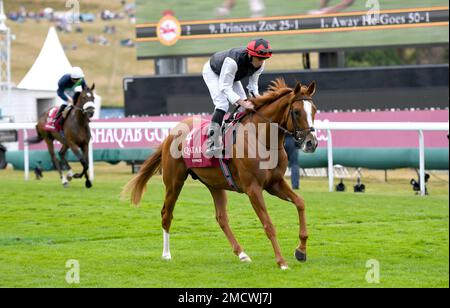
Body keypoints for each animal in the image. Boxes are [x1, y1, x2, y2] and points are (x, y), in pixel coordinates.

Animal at [121, 80, 318, 270]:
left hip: (214, 184)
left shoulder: (274, 183)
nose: (311, 143)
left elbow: (300, 203)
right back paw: (166, 254)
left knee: (221, 218)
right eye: (296, 112)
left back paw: (242, 253)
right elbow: (268, 225)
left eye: (314, 110)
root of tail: (172, 132)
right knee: (166, 213)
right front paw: (281, 262)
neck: (261, 139)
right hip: (174, 182)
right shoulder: (253, 189)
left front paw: (301, 250)